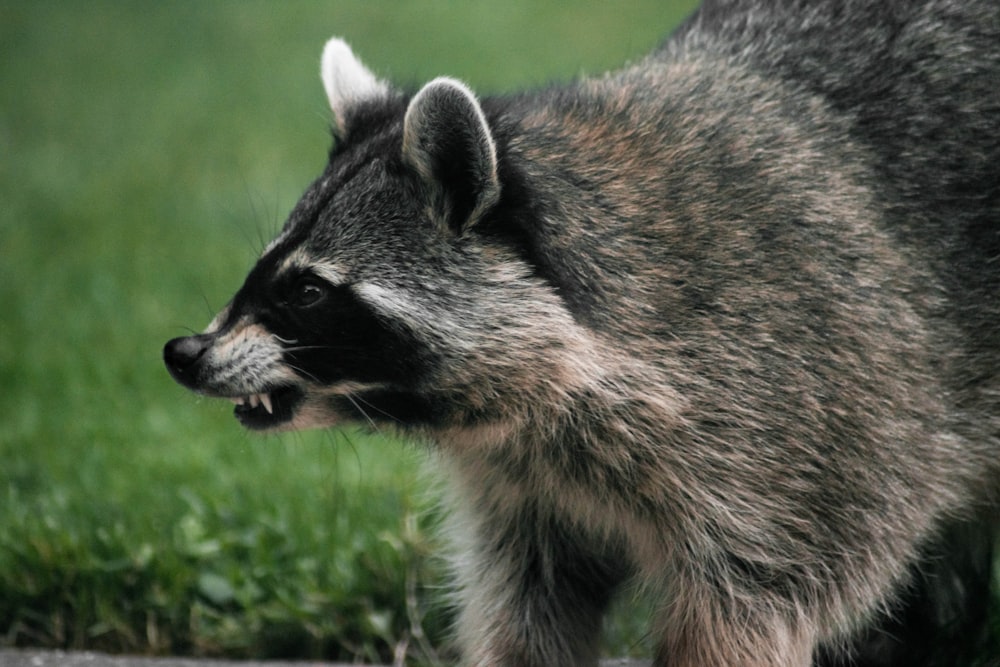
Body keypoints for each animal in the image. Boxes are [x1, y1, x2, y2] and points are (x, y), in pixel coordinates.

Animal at [164, 2, 1000, 664]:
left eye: (308, 290)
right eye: (267, 267)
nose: (184, 354)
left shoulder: (809, 430)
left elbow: (757, 601)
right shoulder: (525, 489)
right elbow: (526, 608)